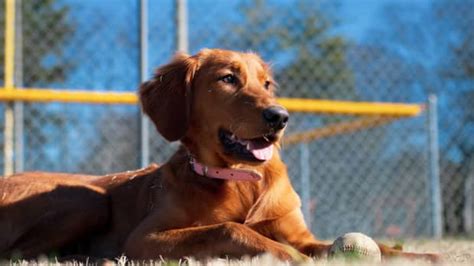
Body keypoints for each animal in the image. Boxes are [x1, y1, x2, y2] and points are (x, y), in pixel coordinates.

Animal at [0, 48, 438, 262]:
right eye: (228, 79)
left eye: (267, 84)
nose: (280, 117)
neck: (241, 181)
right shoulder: (145, 238)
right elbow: (228, 228)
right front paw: (288, 256)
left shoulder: (300, 232)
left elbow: (354, 246)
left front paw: (417, 254)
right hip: (87, 199)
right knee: (19, 253)